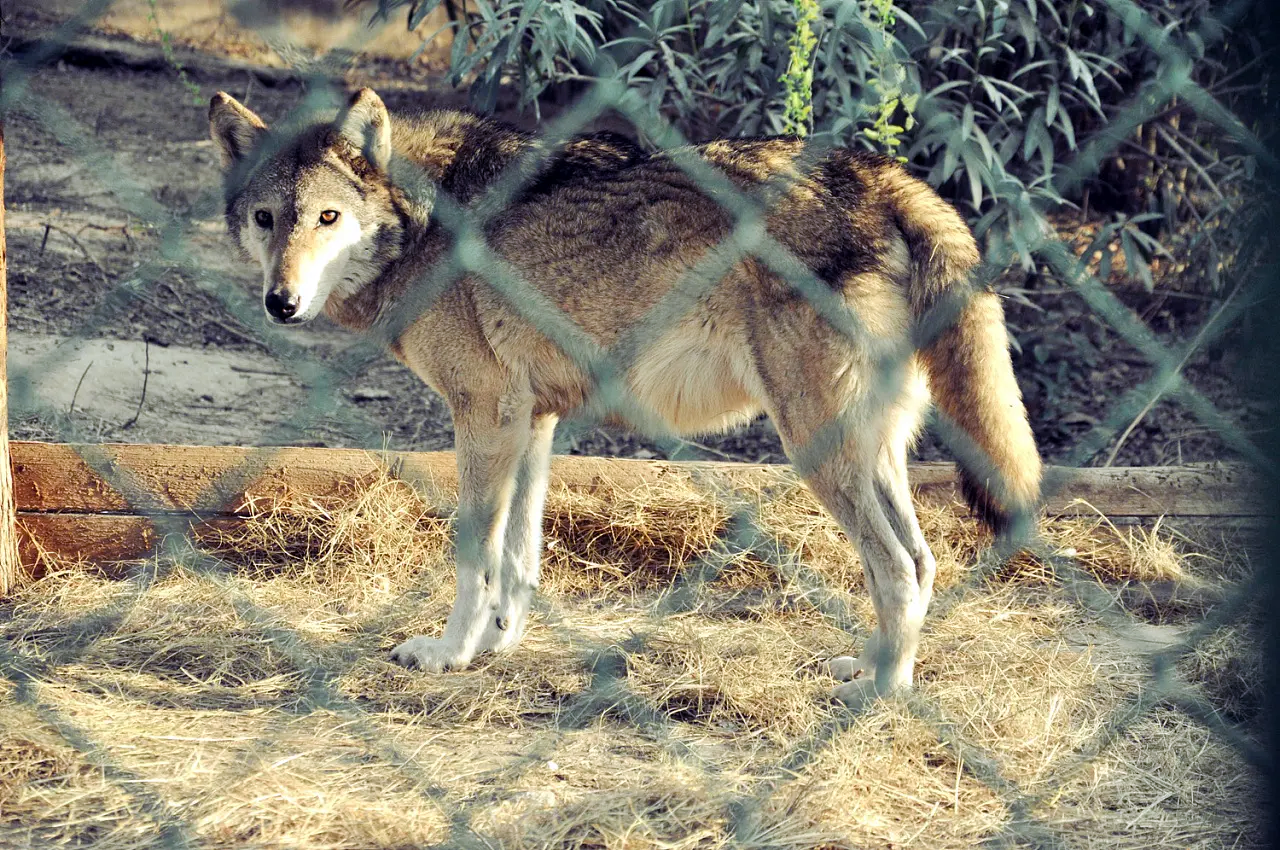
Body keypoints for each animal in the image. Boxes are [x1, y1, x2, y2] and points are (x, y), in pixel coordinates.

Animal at [202, 84, 1039, 701]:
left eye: (328, 217)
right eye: (266, 219)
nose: (281, 302)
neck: (425, 221)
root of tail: (882, 175)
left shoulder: (485, 417)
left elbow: (475, 553)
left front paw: (449, 653)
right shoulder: (531, 422)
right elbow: (519, 558)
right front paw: (499, 644)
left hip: (816, 450)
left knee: (896, 567)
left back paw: (882, 694)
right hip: (869, 452)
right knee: (922, 564)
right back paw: (868, 667)